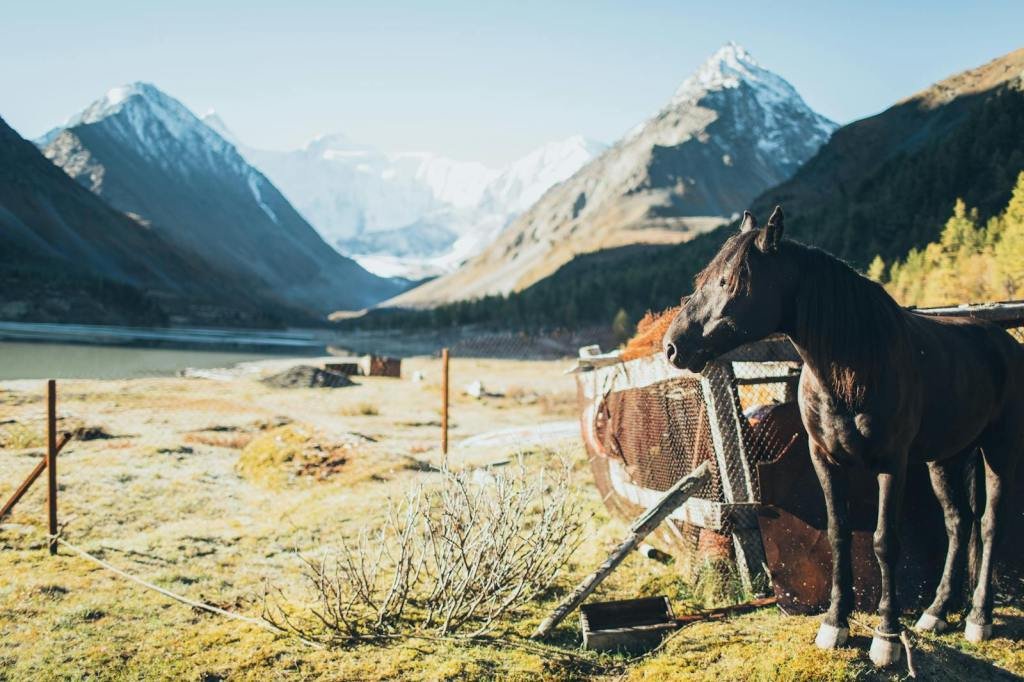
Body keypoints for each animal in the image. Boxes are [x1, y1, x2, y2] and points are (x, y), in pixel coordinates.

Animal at [659, 205, 1024, 663]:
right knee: (958, 523)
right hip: (946, 458)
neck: (854, 369)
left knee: (990, 524)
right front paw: (835, 624)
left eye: (728, 281)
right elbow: (838, 535)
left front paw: (886, 636)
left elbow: (885, 542)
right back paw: (937, 612)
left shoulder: (892, 465)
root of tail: (1003, 342)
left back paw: (979, 617)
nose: (672, 347)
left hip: (999, 449)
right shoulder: (826, 460)